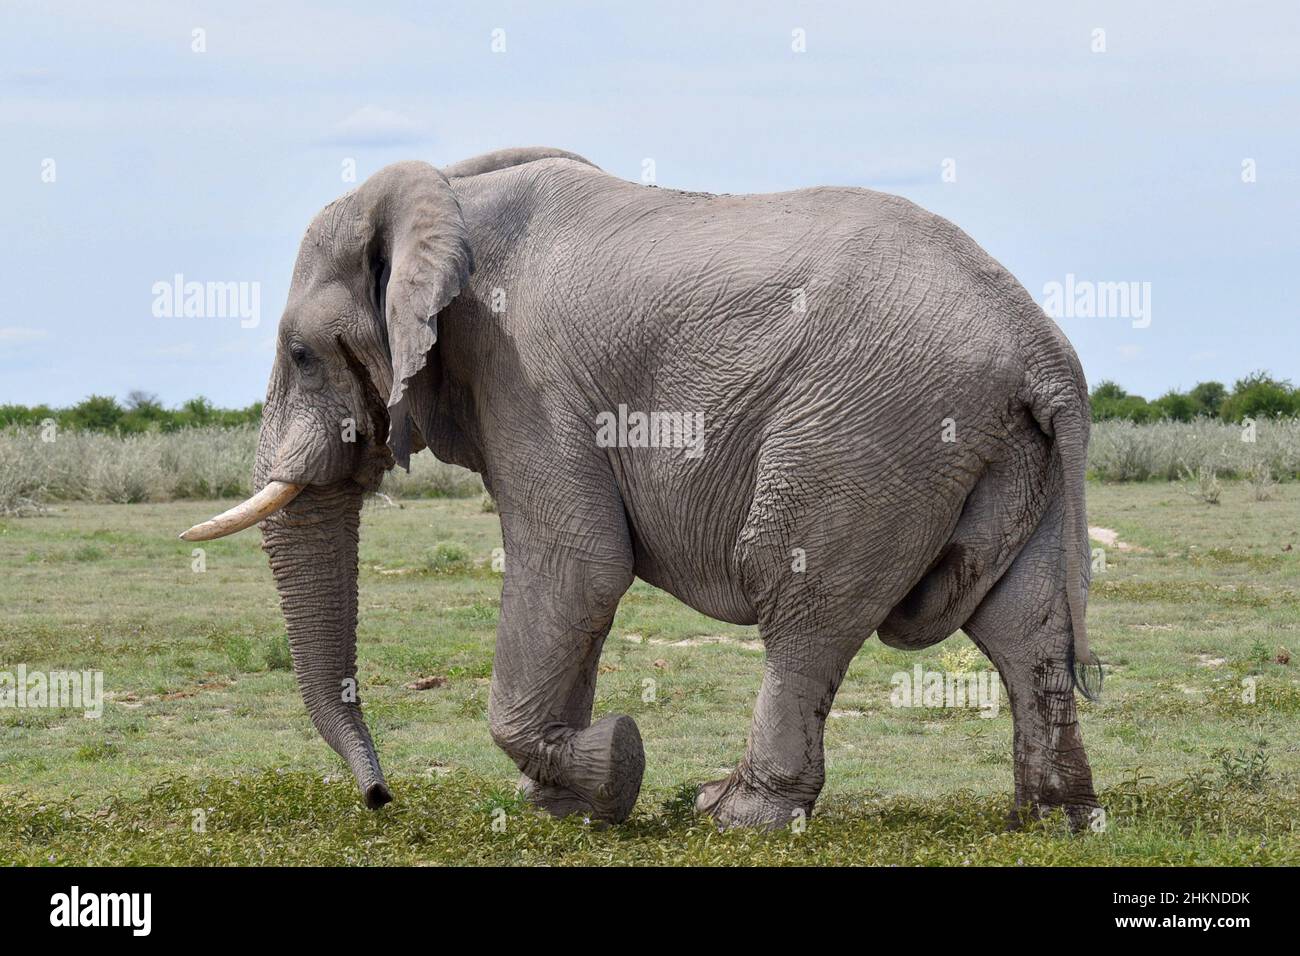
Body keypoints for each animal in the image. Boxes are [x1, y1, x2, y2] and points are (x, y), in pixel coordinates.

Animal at [182, 145, 1102, 830]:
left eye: (301, 354)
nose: (380, 798)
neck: (447, 194)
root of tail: (1044, 351)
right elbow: (577, 587)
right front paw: (558, 805)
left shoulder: (527, 374)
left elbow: (577, 566)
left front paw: (614, 767)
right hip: (1000, 447)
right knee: (1022, 623)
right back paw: (1053, 820)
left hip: (871, 426)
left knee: (801, 597)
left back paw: (732, 814)